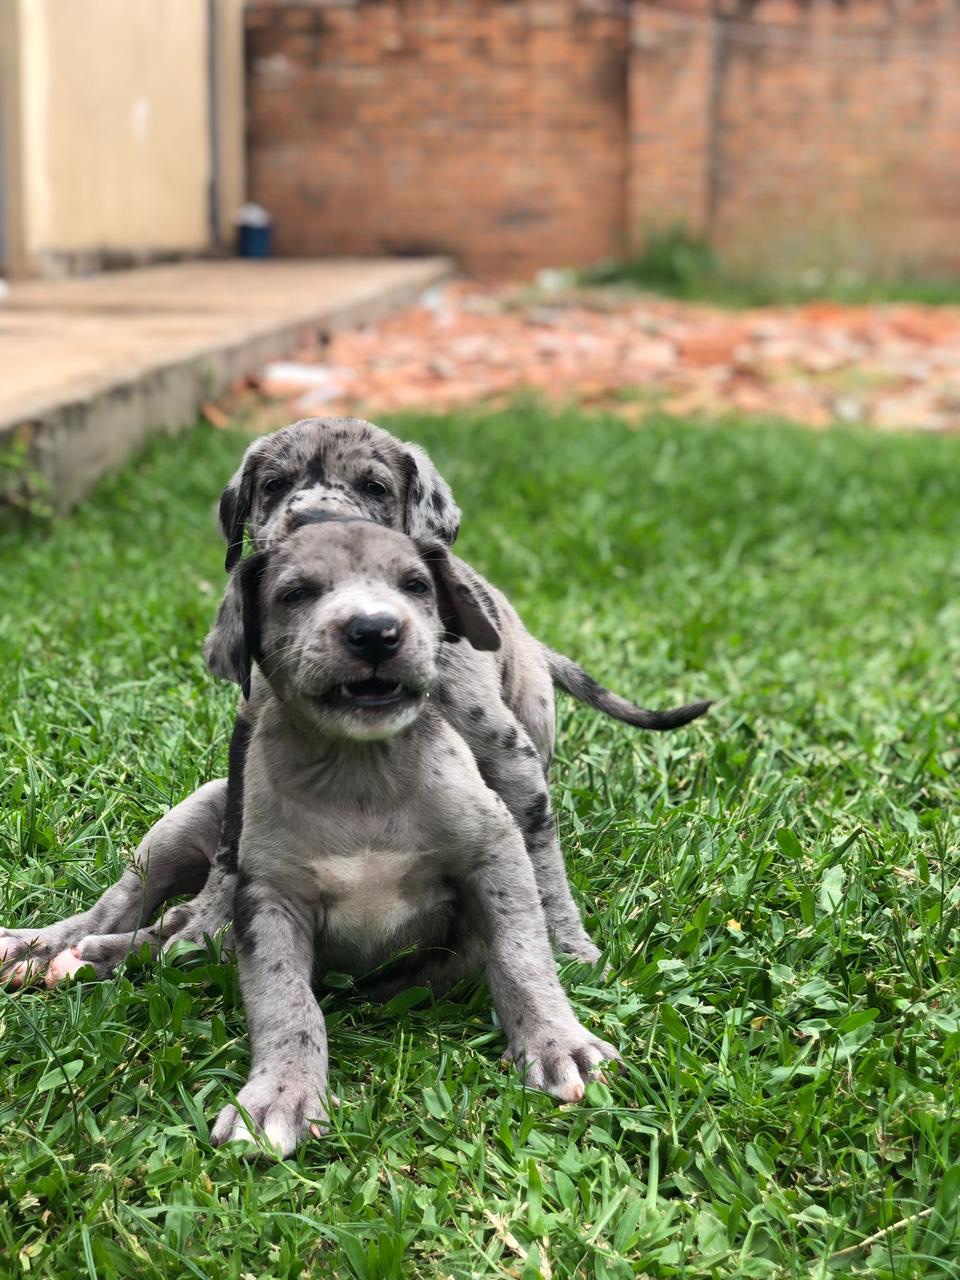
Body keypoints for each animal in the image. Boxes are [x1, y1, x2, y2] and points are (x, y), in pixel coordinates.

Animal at [0, 414, 706, 983]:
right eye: (273, 486)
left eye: (375, 488)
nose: (314, 520)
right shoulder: (246, 751)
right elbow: (233, 856)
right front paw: (208, 923)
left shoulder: (510, 762)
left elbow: (538, 860)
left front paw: (567, 946)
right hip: (181, 822)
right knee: (121, 901)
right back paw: (45, 946)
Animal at [207, 514, 619, 1157]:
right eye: (296, 593)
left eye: (416, 585)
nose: (375, 632)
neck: (359, 772)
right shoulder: (268, 899)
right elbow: (284, 1000)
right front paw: (280, 1093)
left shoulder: (497, 851)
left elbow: (523, 953)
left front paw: (557, 1042)